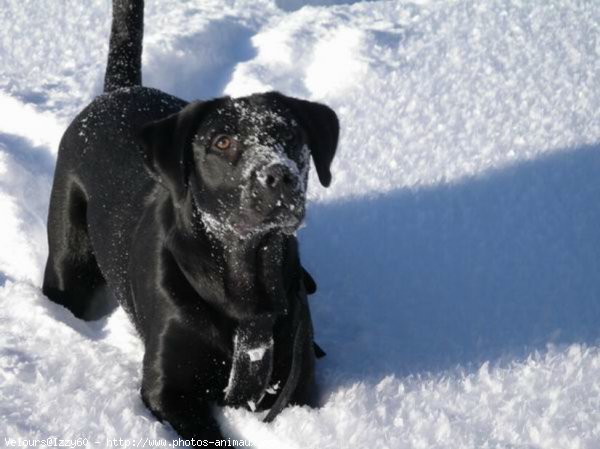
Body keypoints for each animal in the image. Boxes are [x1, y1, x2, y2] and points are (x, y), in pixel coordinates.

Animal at [42, 0, 338, 440]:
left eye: (290, 136)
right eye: (222, 142)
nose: (278, 175)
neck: (245, 281)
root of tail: (118, 91)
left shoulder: (297, 387)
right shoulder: (168, 389)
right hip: (67, 256)